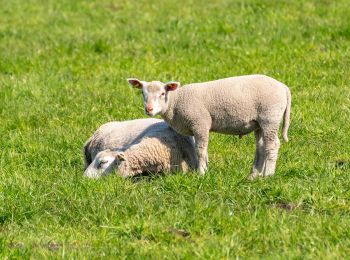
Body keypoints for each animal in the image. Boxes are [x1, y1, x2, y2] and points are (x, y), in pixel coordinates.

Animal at [127, 73, 292, 179]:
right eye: (142, 93)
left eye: (162, 93)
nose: (148, 109)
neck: (176, 101)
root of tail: (283, 87)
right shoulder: (197, 127)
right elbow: (202, 151)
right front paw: (205, 169)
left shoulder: (200, 122)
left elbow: (200, 150)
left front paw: (201, 173)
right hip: (259, 124)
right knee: (261, 147)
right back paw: (254, 175)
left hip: (270, 117)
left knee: (272, 145)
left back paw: (268, 174)